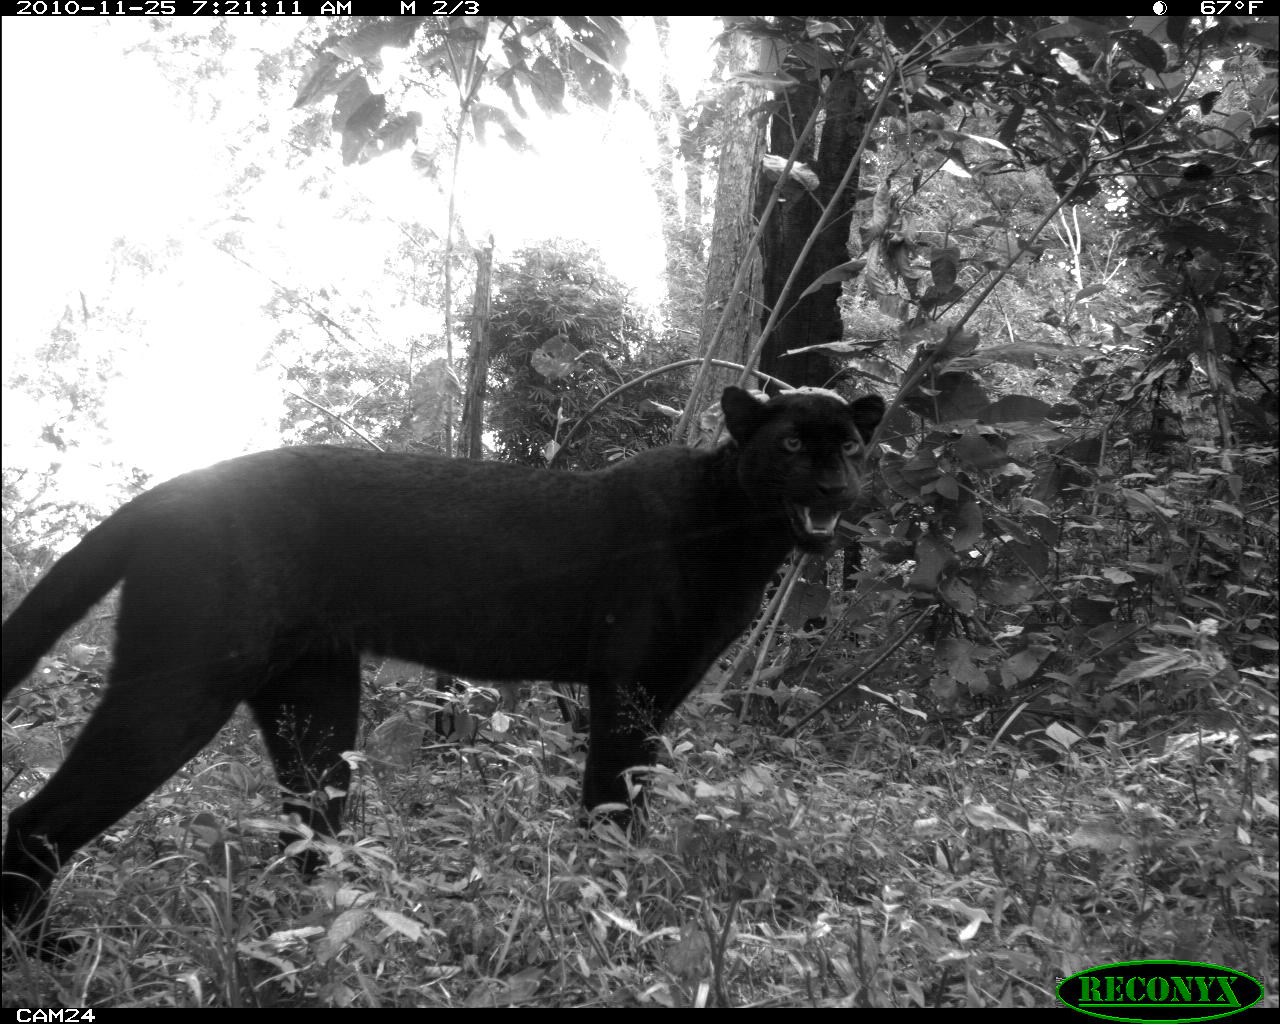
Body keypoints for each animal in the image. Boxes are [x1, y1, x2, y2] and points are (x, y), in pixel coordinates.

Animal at [2, 389, 880, 942]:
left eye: (851, 444)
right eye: (793, 443)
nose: (836, 483)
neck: (739, 531)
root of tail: (169, 491)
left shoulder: (660, 693)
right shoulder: (625, 690)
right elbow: (610, 802)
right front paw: (611, 901)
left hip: (315, 698)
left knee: (307, 826)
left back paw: (315, 929)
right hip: (181, 686)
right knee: (36, 822)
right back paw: (50, 957)